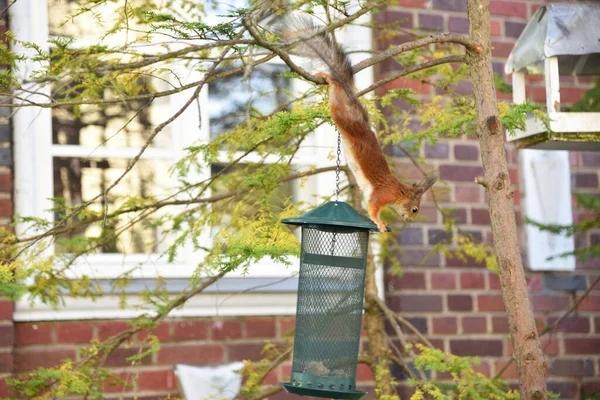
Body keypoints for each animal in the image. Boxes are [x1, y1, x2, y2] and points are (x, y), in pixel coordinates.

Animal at [278, 14, 438, 233]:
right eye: (415, 209)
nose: (411, 220)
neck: (397, 190)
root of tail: (351, 98)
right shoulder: (382, 194)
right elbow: (373, 207)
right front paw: (380, 223)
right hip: (341, 114)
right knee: (336, 90)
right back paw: (329, 78)